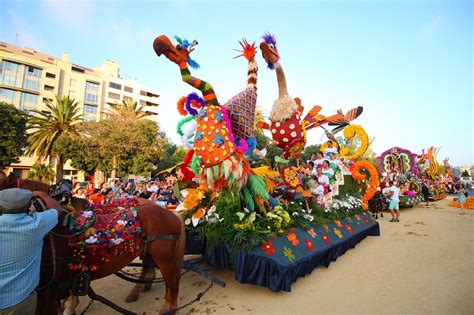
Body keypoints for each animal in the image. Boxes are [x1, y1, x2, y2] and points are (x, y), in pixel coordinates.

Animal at [0, 179, 186, 314]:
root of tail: (170, 213)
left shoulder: (50, 288)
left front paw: (70, 307)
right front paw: (69, 306)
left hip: (164, 255)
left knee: (172, 278)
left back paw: (167, 307)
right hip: (151, 251)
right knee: (154, 272)